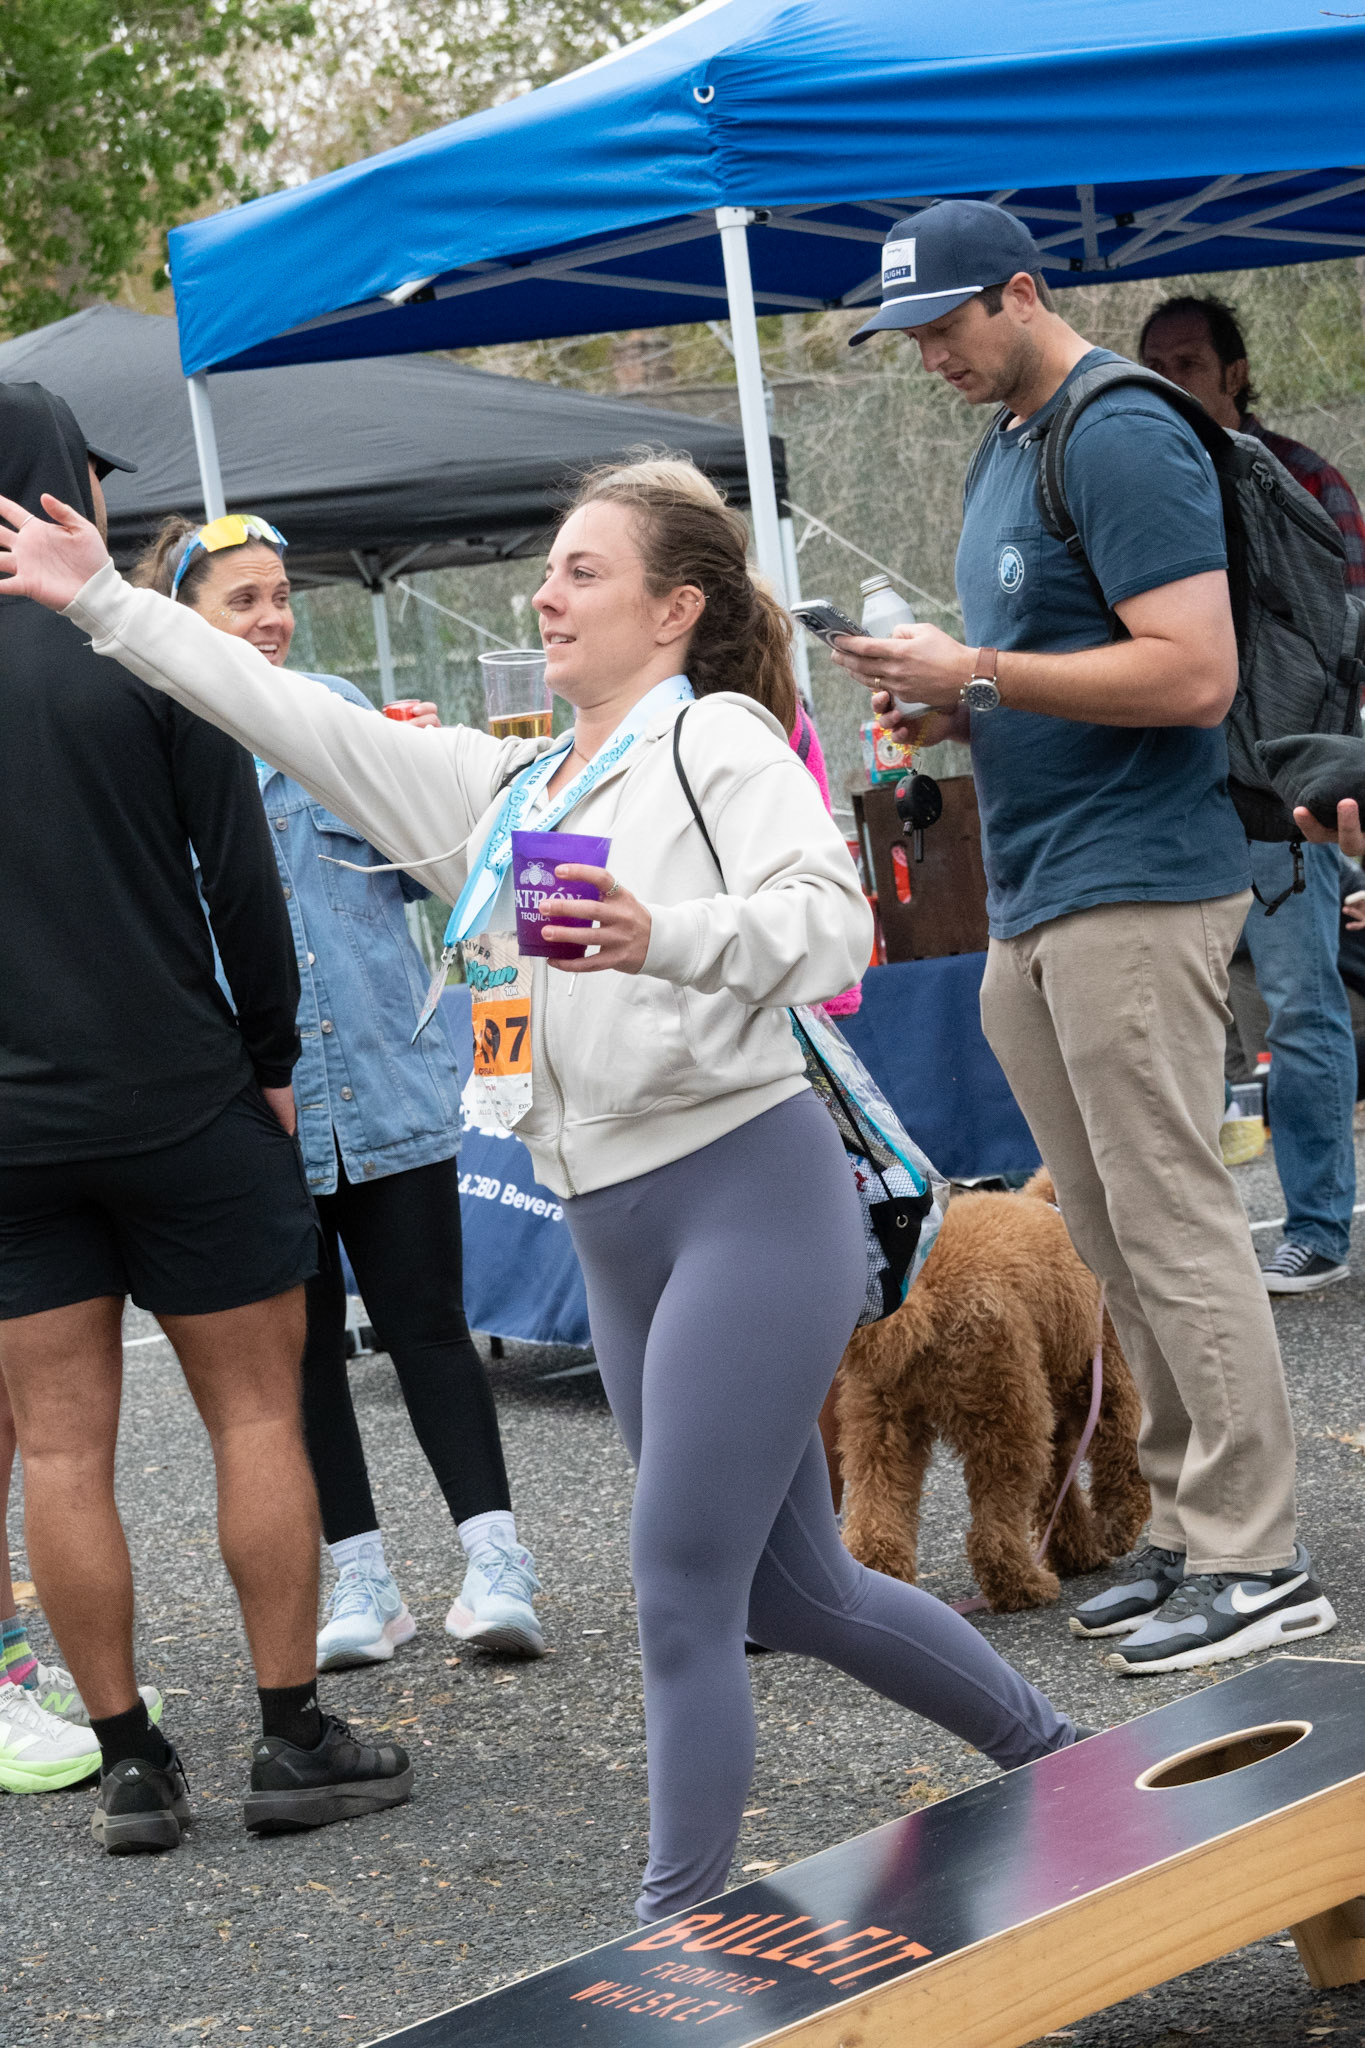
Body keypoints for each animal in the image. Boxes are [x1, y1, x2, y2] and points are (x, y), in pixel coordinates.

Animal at [833, 1169, 1149, 1613]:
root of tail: (924, 1296)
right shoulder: (1106, 1383)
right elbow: (1122, 1459)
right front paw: (1115, 1530)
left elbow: (1058, 1488)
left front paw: (1076, 1551)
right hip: (1007, 1413)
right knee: (994, 1528)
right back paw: (1023, 1585)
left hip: (880, 1422)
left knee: (875, 1518)